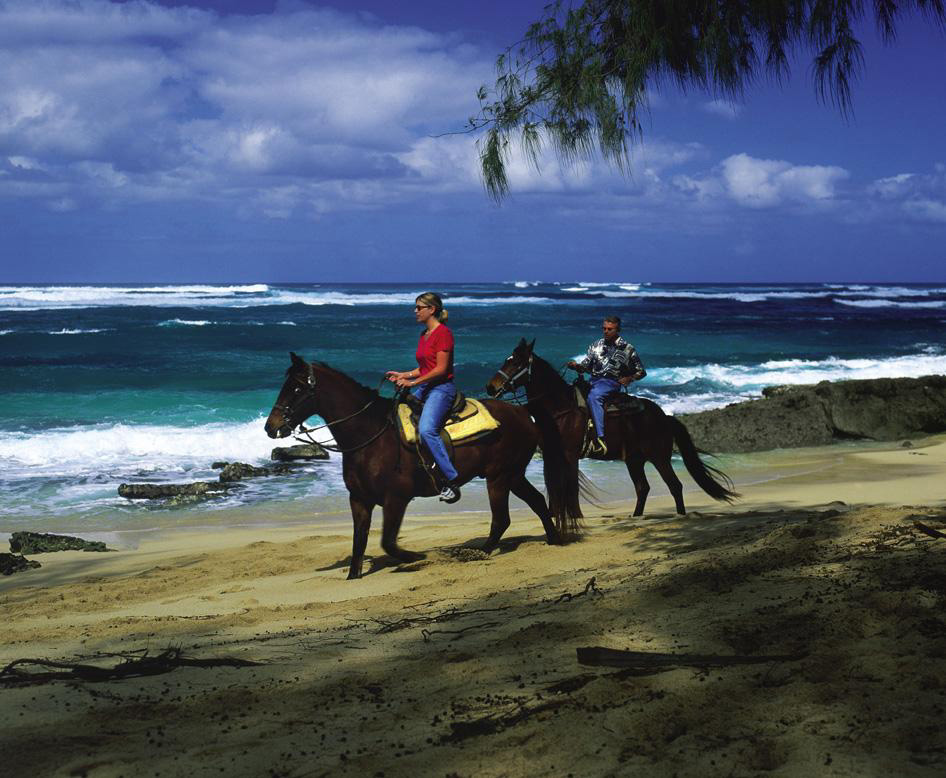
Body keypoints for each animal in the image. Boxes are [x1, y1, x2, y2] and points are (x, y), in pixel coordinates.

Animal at [262, 352, 580, 576]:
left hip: (499, 477)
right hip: (513, 475)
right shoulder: (359, 500)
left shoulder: (396, 499)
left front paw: (416, 557)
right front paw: (354, 576)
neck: (369, 435)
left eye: (297, 389)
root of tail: (523, 412)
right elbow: (359, 543)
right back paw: (554, 540)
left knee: (502, 518)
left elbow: (388, 542)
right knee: (537, 502)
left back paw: (477, 552)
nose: (270, 426)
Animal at [486, 338, 736, 516]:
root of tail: (664, 416)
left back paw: (680, 516)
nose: (490, 387)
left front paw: (575, 517)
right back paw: (636, 517)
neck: (560, 407)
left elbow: (571, 487)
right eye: (507, 359)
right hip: (634, 460)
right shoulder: (553, 455)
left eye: (516, 362)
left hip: (659, 456)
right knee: (642, 488)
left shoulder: (570, 454)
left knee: (674, 485)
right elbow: (555, 488)